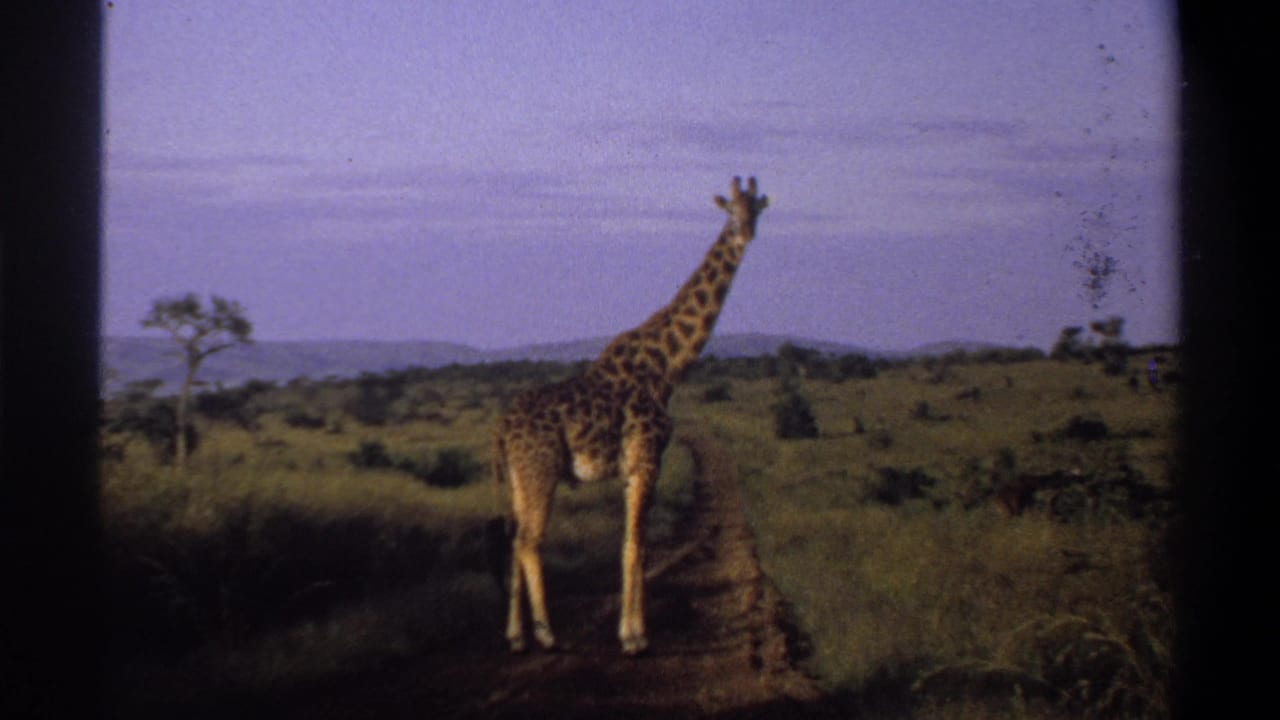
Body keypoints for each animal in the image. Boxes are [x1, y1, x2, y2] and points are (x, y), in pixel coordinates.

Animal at [493, 176, 768, 655]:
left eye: (756, 210)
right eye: (730, 211)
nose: (745, 234)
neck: (667, 367)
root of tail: (503, 429)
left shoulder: (634, 467)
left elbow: (638, 543)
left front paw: (634, 630)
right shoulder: (646, 459)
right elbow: (635, 544)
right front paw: (635, 636)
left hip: (518, 478)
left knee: (514, 540)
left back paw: (516, 636)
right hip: (540, 471)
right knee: (529, 541)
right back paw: (547, 634)